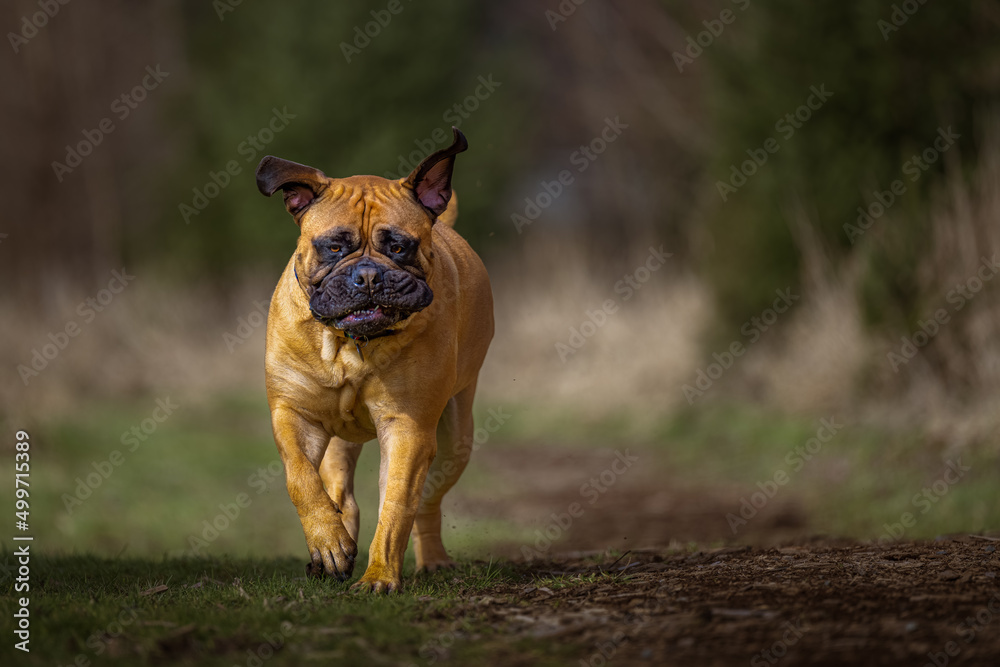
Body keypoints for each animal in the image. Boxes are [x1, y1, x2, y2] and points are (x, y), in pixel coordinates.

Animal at [256, 128, 494, 592]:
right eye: (333, 246)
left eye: (399, 247)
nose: (367, 276)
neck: (351, 346)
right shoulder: (292, 414)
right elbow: (301, 479)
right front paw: (328, 541)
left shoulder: (408, 429)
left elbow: (397, 505)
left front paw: (380, 576)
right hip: (339, 439)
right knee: (340, 492)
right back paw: (334, 547)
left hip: (455, 438)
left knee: (426, 504)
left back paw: (432, 560)